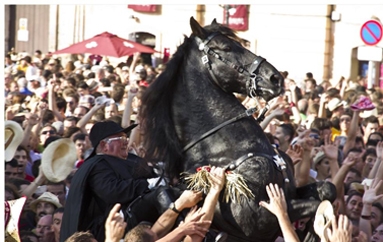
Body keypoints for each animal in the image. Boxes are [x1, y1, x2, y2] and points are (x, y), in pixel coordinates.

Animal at [138, 17, 336, 242]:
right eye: (226, 47)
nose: (275, 78)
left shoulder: (289, 193)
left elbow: (327, 190)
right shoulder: (253, 216)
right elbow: (314, 206)